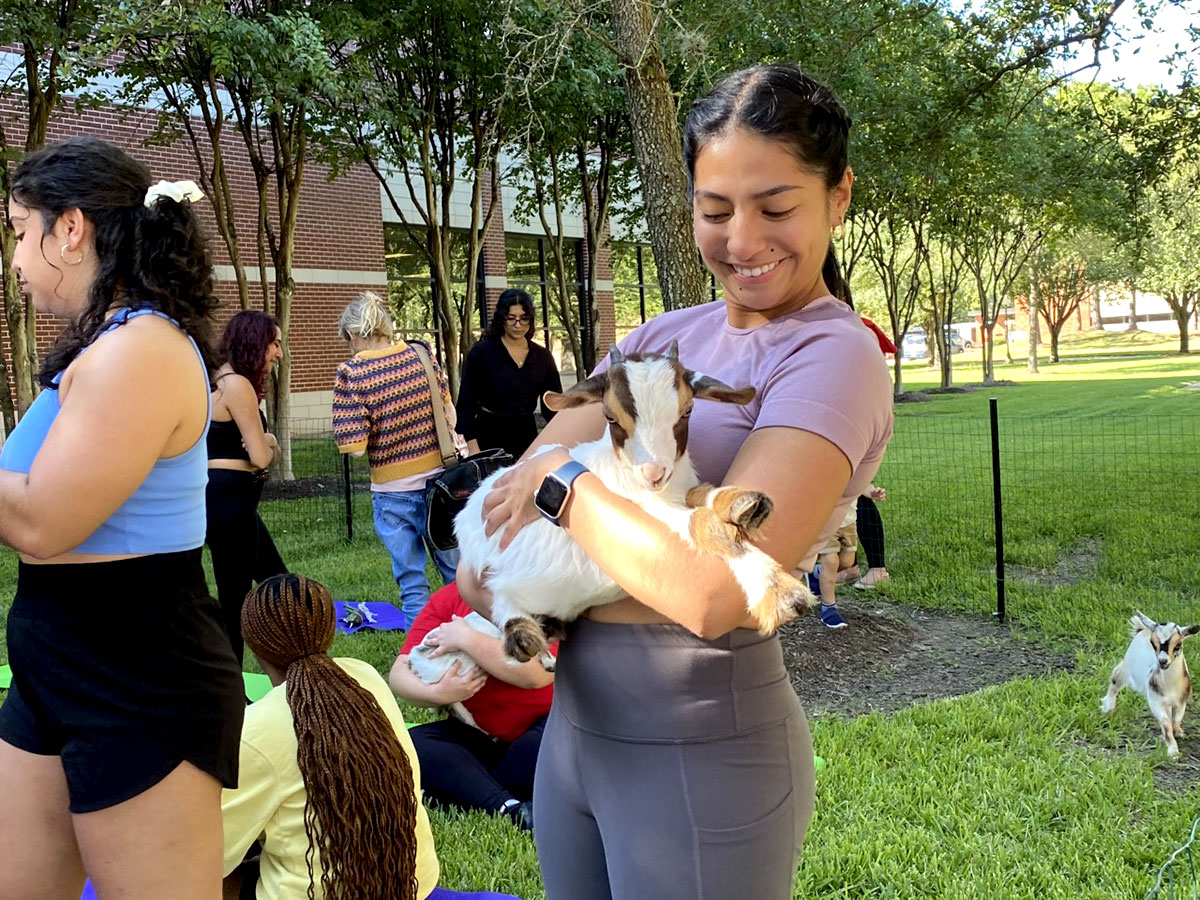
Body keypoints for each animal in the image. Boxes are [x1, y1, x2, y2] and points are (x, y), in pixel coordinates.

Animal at [453, 345, 820, 672]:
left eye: (687, 411)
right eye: (610, 416)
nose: (653, 473)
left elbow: (700, 493)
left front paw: (741, 503)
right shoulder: (638, 513)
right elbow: (702, 524)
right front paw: (781, 595)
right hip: (495, 576)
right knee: (500, 596)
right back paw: (522, 634)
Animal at [1099, 614, 1195, 753]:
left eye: (1178, 644)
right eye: (1153, 643)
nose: (1162, 661)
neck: (1170, 686)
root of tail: (1142, 629)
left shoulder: (1181, 701)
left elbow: (1176, 720)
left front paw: (1178, 733)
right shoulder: (1155, 702)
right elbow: (1166, 723)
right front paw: (1173, 751)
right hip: (1126, 666)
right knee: (1115, 680)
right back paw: (1108, 708)